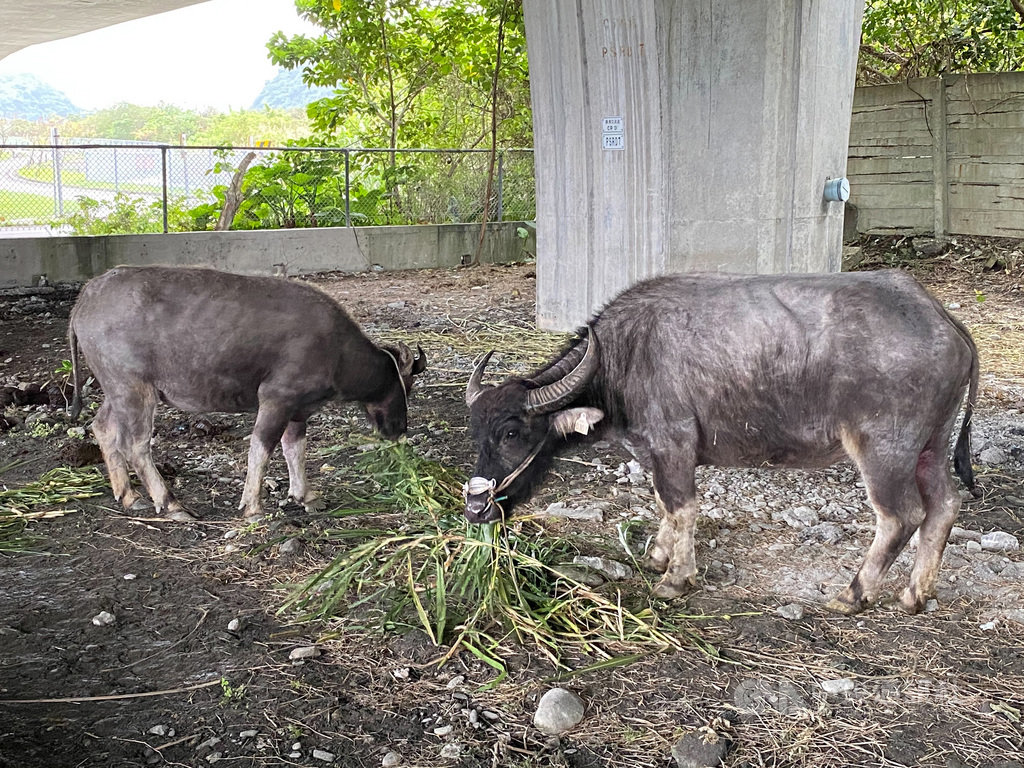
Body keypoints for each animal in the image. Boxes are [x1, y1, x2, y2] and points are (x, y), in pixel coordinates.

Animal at [70, 266, 425, 524]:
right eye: (405, 385)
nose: (399, 429)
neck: (336, 350)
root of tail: (86, 297)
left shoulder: (299, 408)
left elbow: (294, 448)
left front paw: (306, 496)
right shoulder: (276, 398)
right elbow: (261, 448)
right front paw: (253, 506)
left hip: (115, 388)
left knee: (103, 428)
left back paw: (129, 496)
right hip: (134, 388)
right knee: (136, 444)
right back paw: (171, 504)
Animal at [464, 272, 974, 618]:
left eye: (512, 433)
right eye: (476, 431)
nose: (475, 508)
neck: (621, 359)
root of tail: (943, 319)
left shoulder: (674, 443)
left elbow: (683, 507)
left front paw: (675, 578)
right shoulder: (656, 453)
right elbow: (663, 503)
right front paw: (658, 555)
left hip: (885, 449)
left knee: (900, 515)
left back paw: (852, 594)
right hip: (931, 444)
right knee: (944, 505)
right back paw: (915, 593)